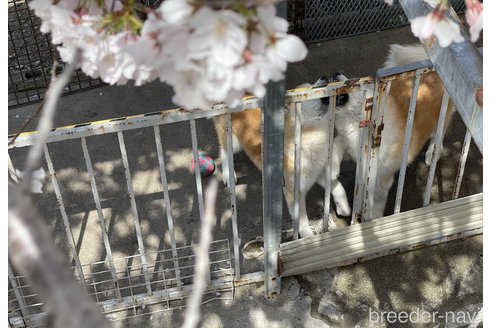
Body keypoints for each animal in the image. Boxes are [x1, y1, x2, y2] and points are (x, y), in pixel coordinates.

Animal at [211, 78, 346, 237]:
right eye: (306, 89)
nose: (324, 77)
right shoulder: (293, 191)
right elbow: (302, 221)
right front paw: (308, 237)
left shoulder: (318, 172)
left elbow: (337, 186)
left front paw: (344, 206)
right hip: (233, 140)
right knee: (224, 152)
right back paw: (228, 175)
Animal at [328, 43, 456, 220]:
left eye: (354, 82)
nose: (335, 73)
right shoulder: (349, 145)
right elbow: (337, 143)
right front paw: (333, 169)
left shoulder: (381, 177)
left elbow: (375, 201)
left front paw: (372, 219)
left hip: (442, 116)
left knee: (439, 132)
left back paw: (432, 152)